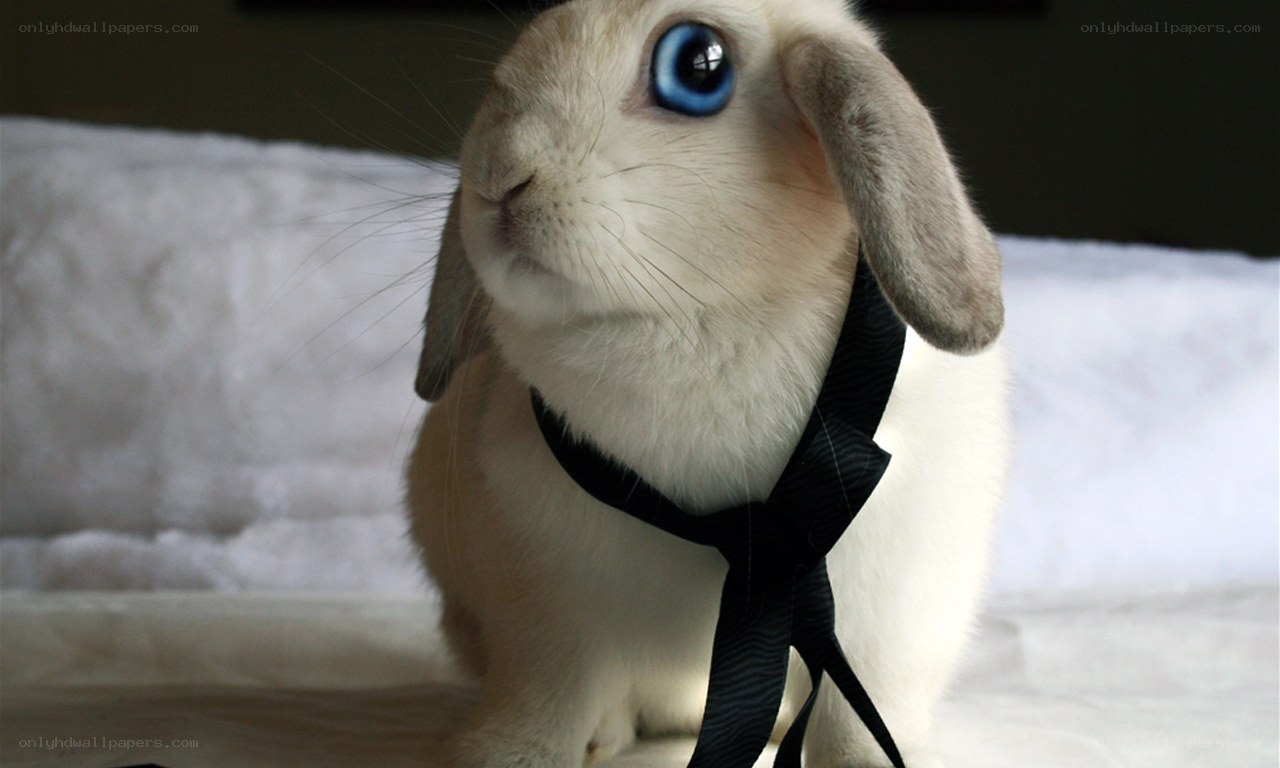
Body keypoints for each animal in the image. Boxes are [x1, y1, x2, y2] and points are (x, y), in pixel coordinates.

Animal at [404, 0, 1010, 765]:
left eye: (697, 66)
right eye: (503, 81)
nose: (498, 176)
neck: (690, 321)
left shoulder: (888, 623)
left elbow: (858, 715)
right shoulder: (540, 608)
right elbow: (546, 697)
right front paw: (505, 756)